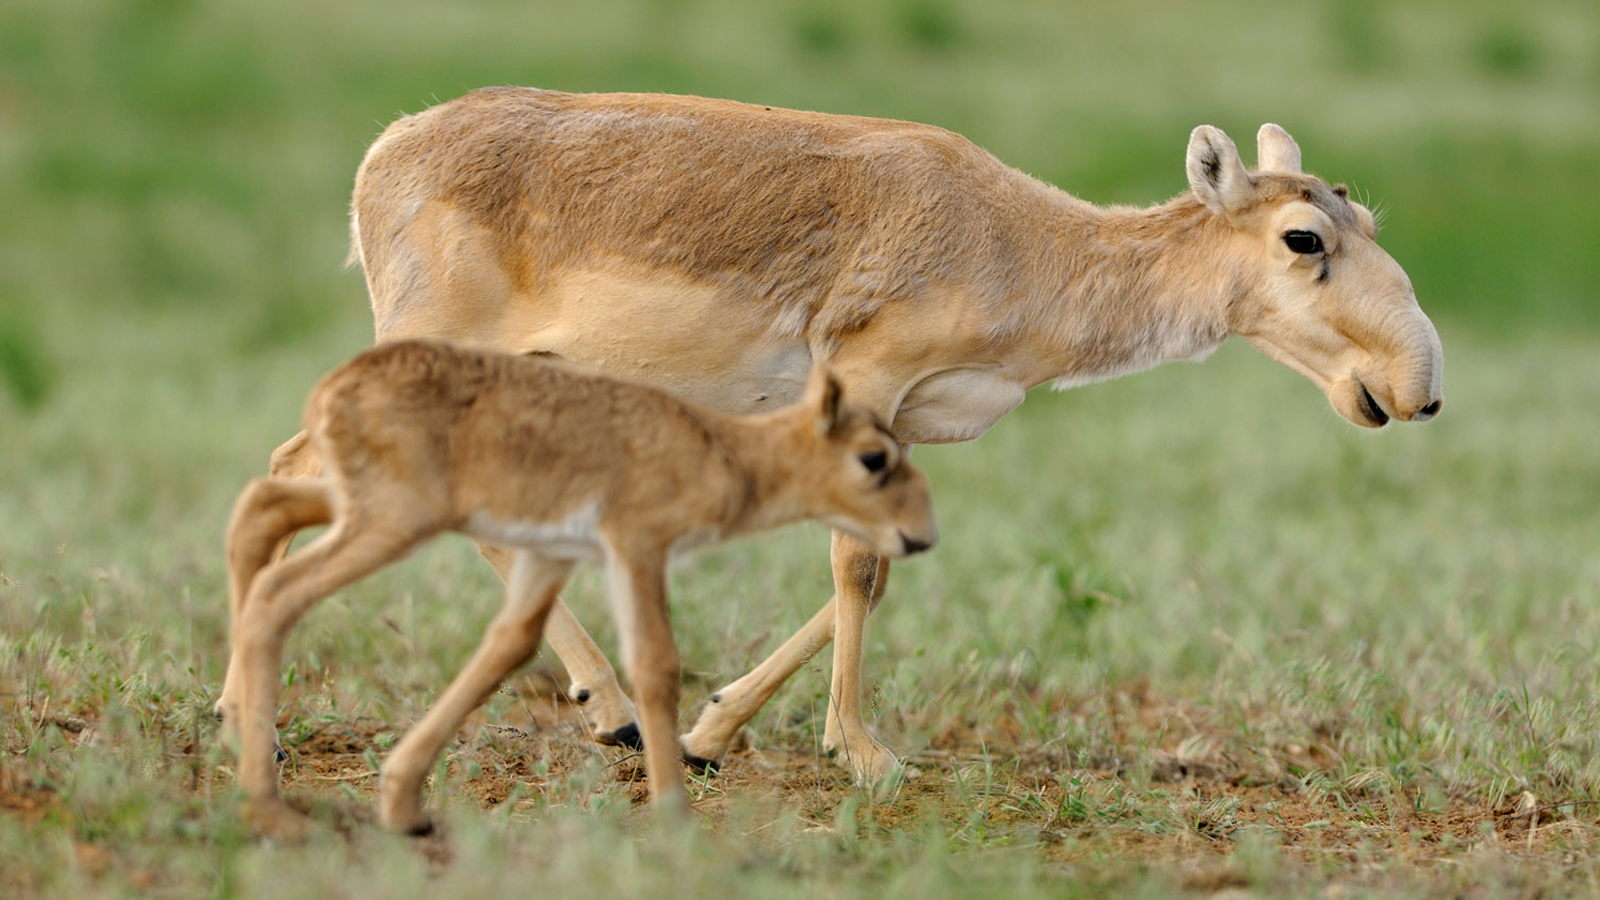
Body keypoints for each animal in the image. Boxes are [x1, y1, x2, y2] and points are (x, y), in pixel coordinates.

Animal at [216, 337, 934, 832]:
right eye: (875, 458)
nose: (922, 534)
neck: (721, 450)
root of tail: (335, 387)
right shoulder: (637, 549)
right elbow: (656, 666)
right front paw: (675, 813)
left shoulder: (553, 559)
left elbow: (508, 645)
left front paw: (402, 801)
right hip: (390, 522)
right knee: (278, 590)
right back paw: (267, 804)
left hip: (361, 509)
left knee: (260, 509)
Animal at [259, 87, 1440, 781]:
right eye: (1304, 237)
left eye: (1366, 218)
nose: (1416, 389)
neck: (1023, 244)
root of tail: (384, 151)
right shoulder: (864, 384)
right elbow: (853, 564)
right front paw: (861, 752)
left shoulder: (907, 424)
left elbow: (885, 562)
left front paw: (711, 729)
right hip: (430, 349)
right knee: (305, 468)